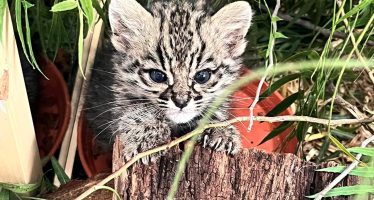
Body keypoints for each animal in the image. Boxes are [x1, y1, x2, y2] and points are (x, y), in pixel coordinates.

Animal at [86, 0, 253, 163]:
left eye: (202, 76)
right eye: (157, 76)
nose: (181, 102)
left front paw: (219, 130)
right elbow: (135, 109)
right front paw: (148, 135)